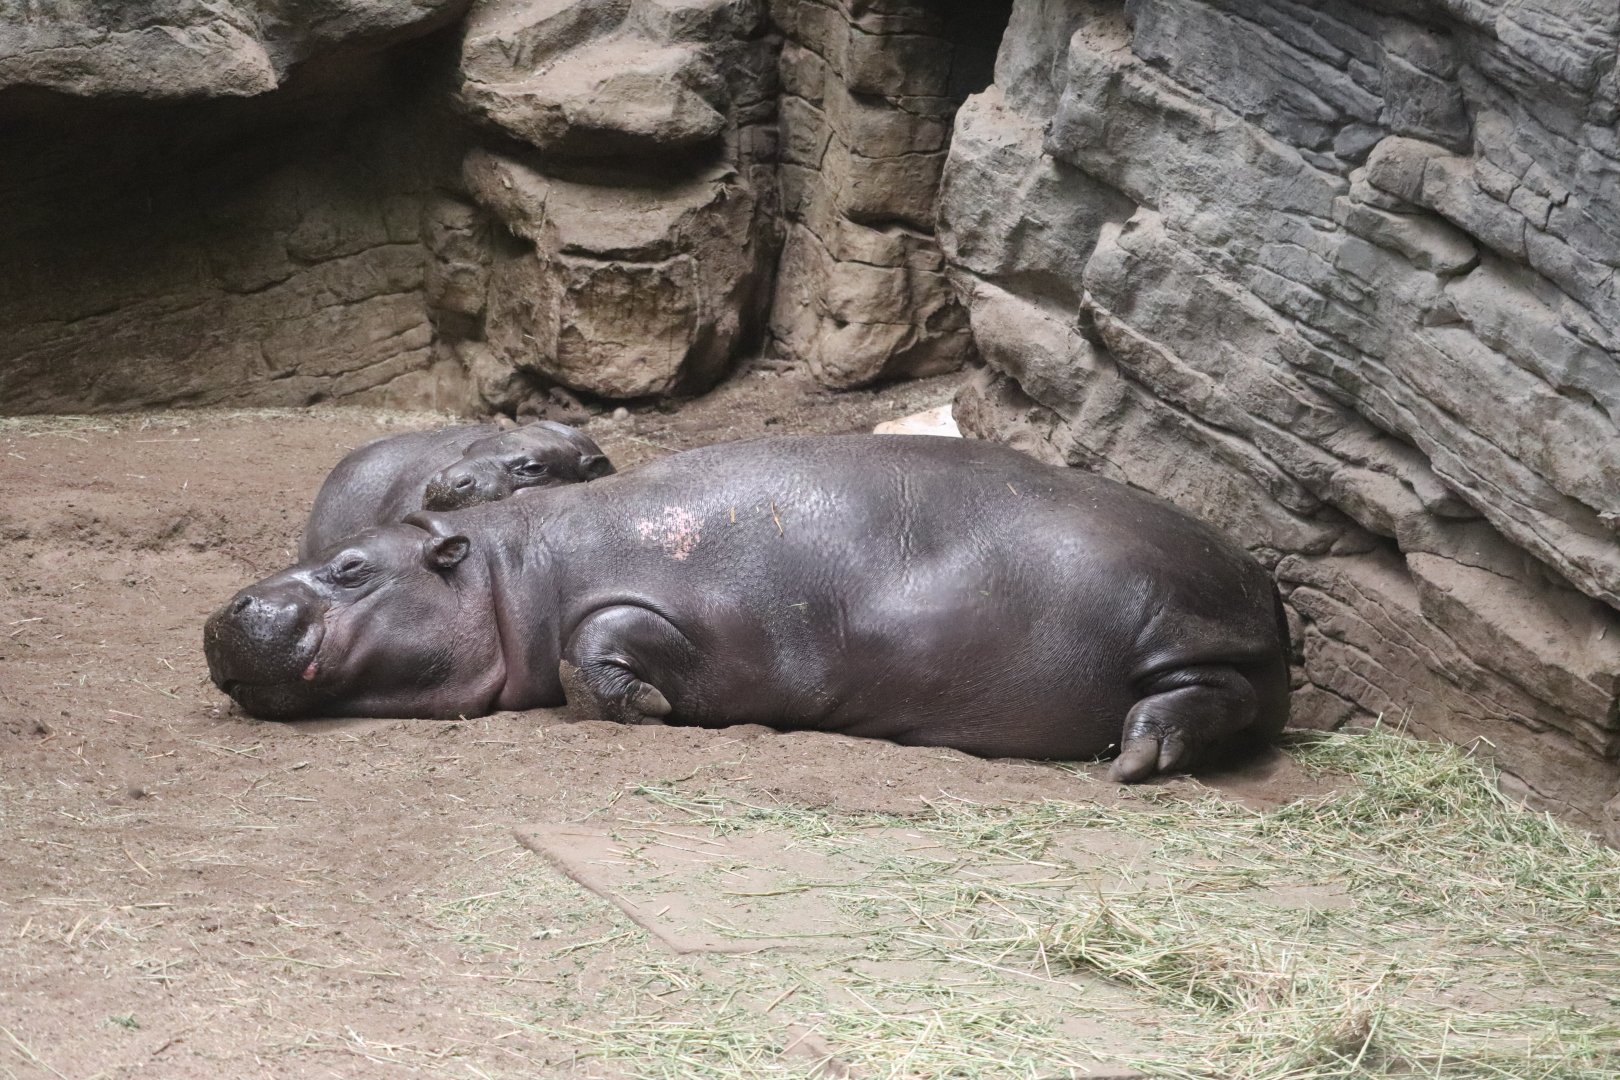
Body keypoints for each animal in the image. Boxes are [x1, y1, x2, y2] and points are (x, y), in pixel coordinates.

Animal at [208, 435, 1289, 782]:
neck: (510, 566)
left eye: (351, 566)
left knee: (1214, 695)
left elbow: (593, 642)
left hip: (1170, 625)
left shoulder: (668, 605)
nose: (224, 615)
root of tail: (1260, 579)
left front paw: (649, 709)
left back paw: (1141, 758)